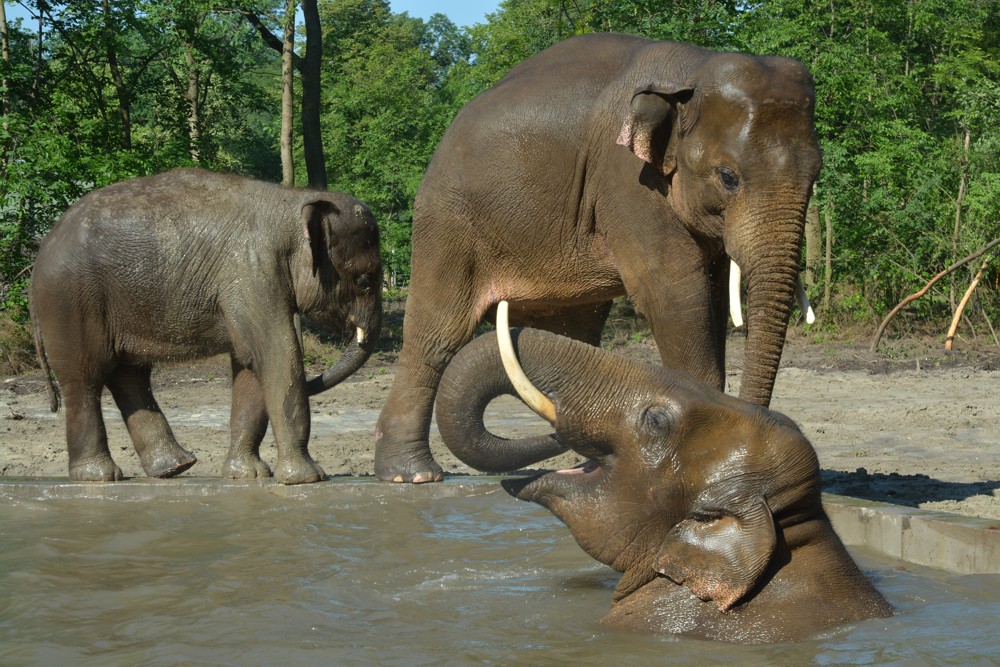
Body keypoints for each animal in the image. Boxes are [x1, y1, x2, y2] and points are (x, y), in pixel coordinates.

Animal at [30, 170, 382, 486]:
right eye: (365, 279)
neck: (293, 201)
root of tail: (40, 253)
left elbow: (250, 365)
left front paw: (248, 475)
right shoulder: (252, 272)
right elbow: (277, 357)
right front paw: (309, 479)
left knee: (128, 374)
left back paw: (175, 467)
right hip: (71, 302)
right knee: (86, 379)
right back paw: (100, 477)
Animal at [376, 31, 820, 482]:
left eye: (816, 175)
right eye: (728, 178)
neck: (691, 71)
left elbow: (710, 296)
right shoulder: (626, 181)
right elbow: (676, 292)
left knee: (575, 331)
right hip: (448, 221)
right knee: (437, 335)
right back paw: (412, 475)